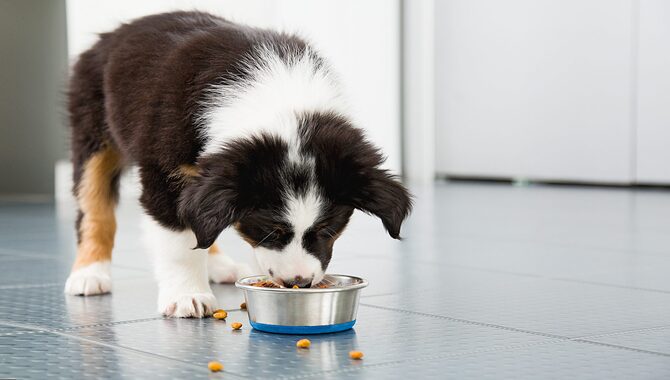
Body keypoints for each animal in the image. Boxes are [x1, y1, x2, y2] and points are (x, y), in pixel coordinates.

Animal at [65, 11, 412, 318]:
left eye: (328, 229)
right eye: (270, 230)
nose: (298, 283)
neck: (280, 103)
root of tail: (115, 32)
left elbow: (199, 225)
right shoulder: (164, 173)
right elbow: (178, 242)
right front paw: (187, 296)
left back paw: (222, 267)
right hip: (92, 131)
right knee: (94, 208)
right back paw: (89, 274)